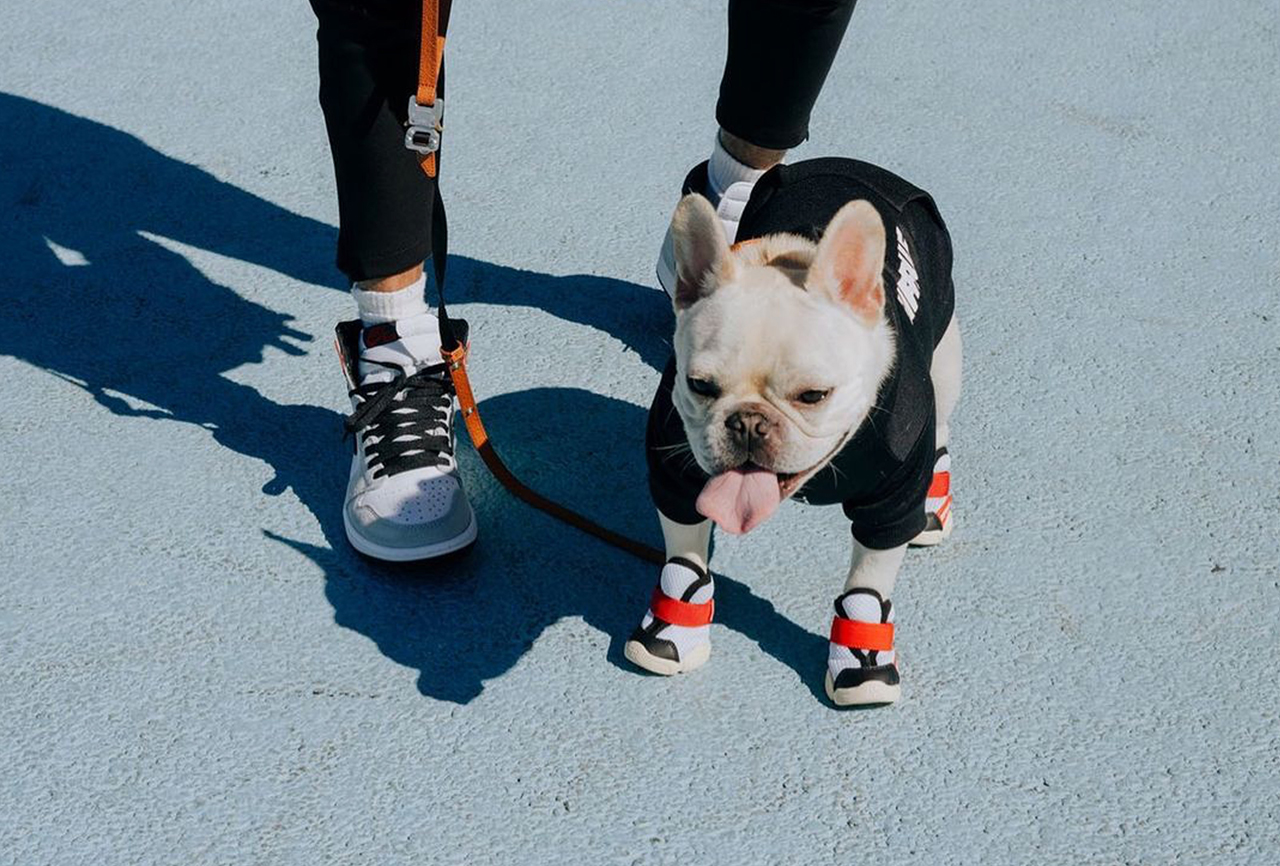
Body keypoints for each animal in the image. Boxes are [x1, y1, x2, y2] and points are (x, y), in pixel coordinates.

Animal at [624, 158, 962, 706]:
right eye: (700, 385)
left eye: (813, 395)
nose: (748, 422)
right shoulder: (675, 472)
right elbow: (685, 551)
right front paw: (677, 623)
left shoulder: (890, 502)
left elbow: (869, 580)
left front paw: (862, 658)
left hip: (946, 359)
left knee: (942, 424)